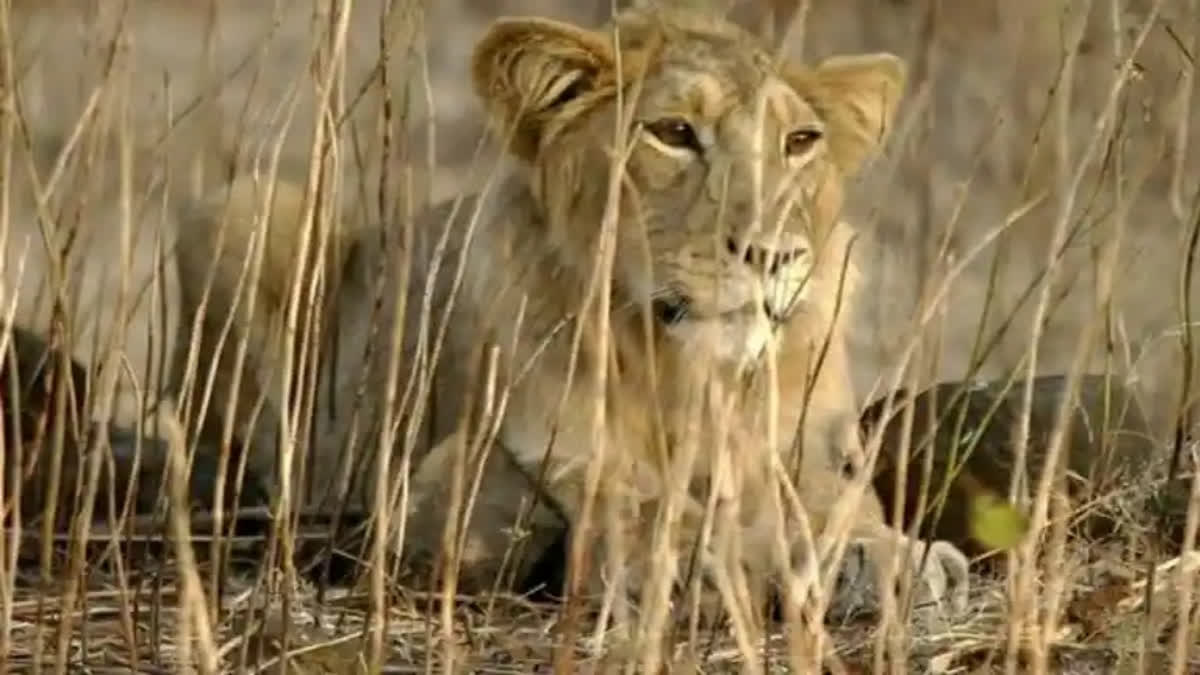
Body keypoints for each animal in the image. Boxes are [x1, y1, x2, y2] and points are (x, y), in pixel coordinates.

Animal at [171, 2, 974, 614]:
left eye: (800, 141)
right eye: (673, 133)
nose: (774, 254)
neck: (685, 373)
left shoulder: (811, 444)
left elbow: (833, 501)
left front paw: (885, 555)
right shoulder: (503, 461)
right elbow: (638, 503)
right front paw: (716, 554)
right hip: (241, 208)